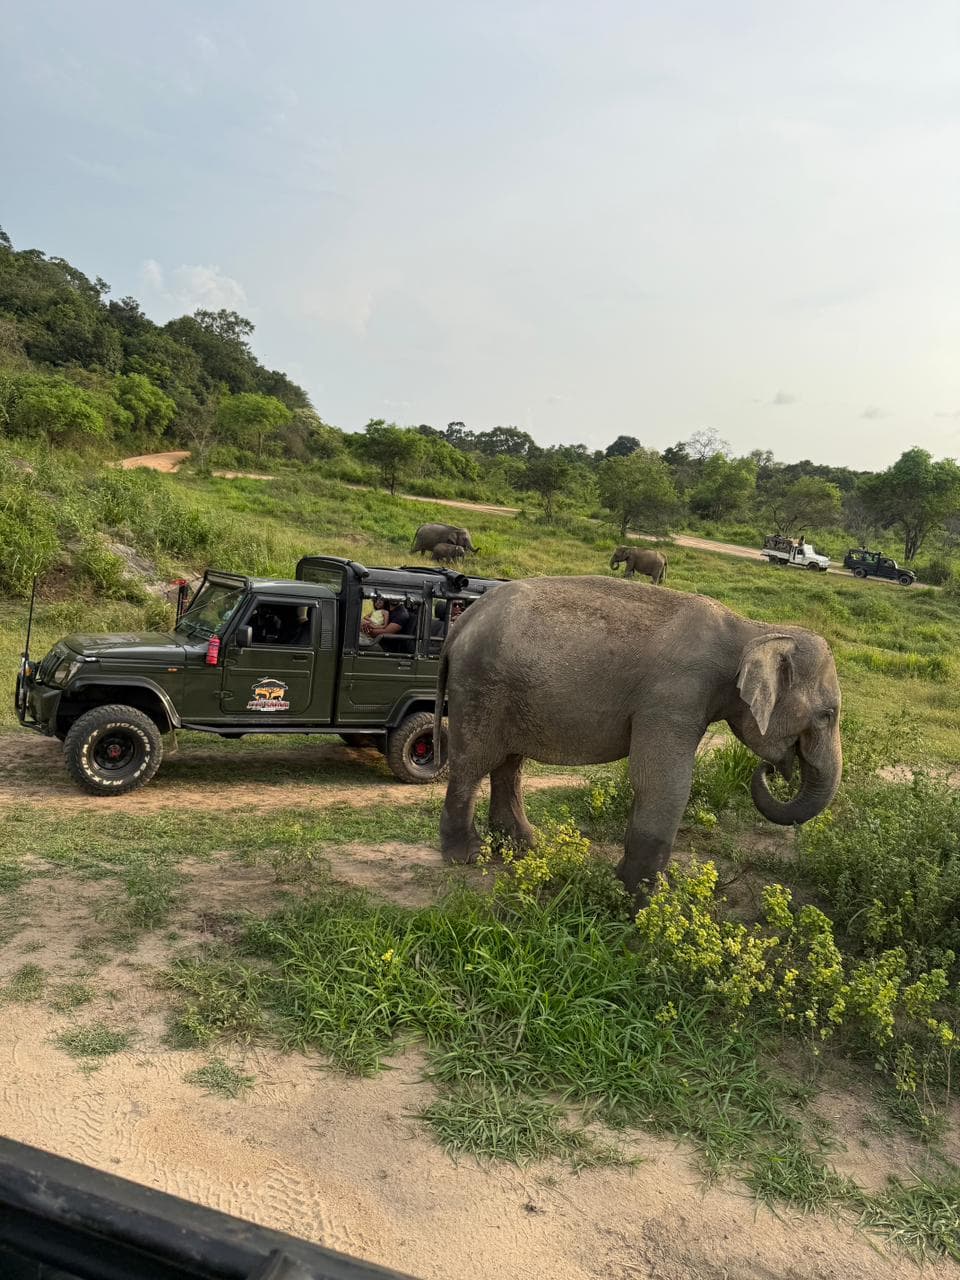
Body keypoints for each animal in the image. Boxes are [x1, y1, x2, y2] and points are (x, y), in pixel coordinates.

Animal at [434, 575, 842, 900]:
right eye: (828, 715)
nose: (771, 770)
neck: (753, 630)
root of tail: (463, 622)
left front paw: (630, 889)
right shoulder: (674, 697)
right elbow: (664, 783)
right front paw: (646, 901)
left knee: (508, 763)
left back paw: (522, 848)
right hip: (480, 687)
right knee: (473, 763)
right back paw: (467, 856)